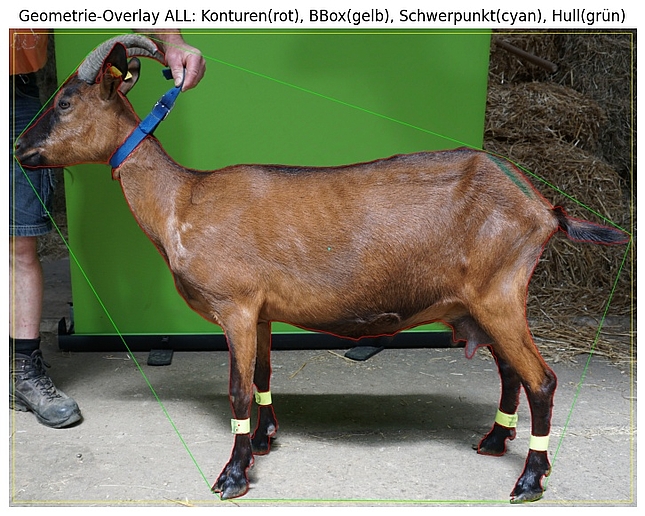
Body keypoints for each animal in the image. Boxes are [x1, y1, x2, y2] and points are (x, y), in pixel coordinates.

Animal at [15, 35, 629, 502]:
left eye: (65, 102)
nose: (20, 147)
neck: (183, 203)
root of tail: (541, 206)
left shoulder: (235, 308)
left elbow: (238, 391)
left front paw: (233, 474)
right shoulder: (261, 313)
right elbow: (263, 377)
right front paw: (264, 441)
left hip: (500, 295)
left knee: (541, 381)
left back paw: (529, 479)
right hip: (481, 306)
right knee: (510, 374)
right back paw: (495, 442)